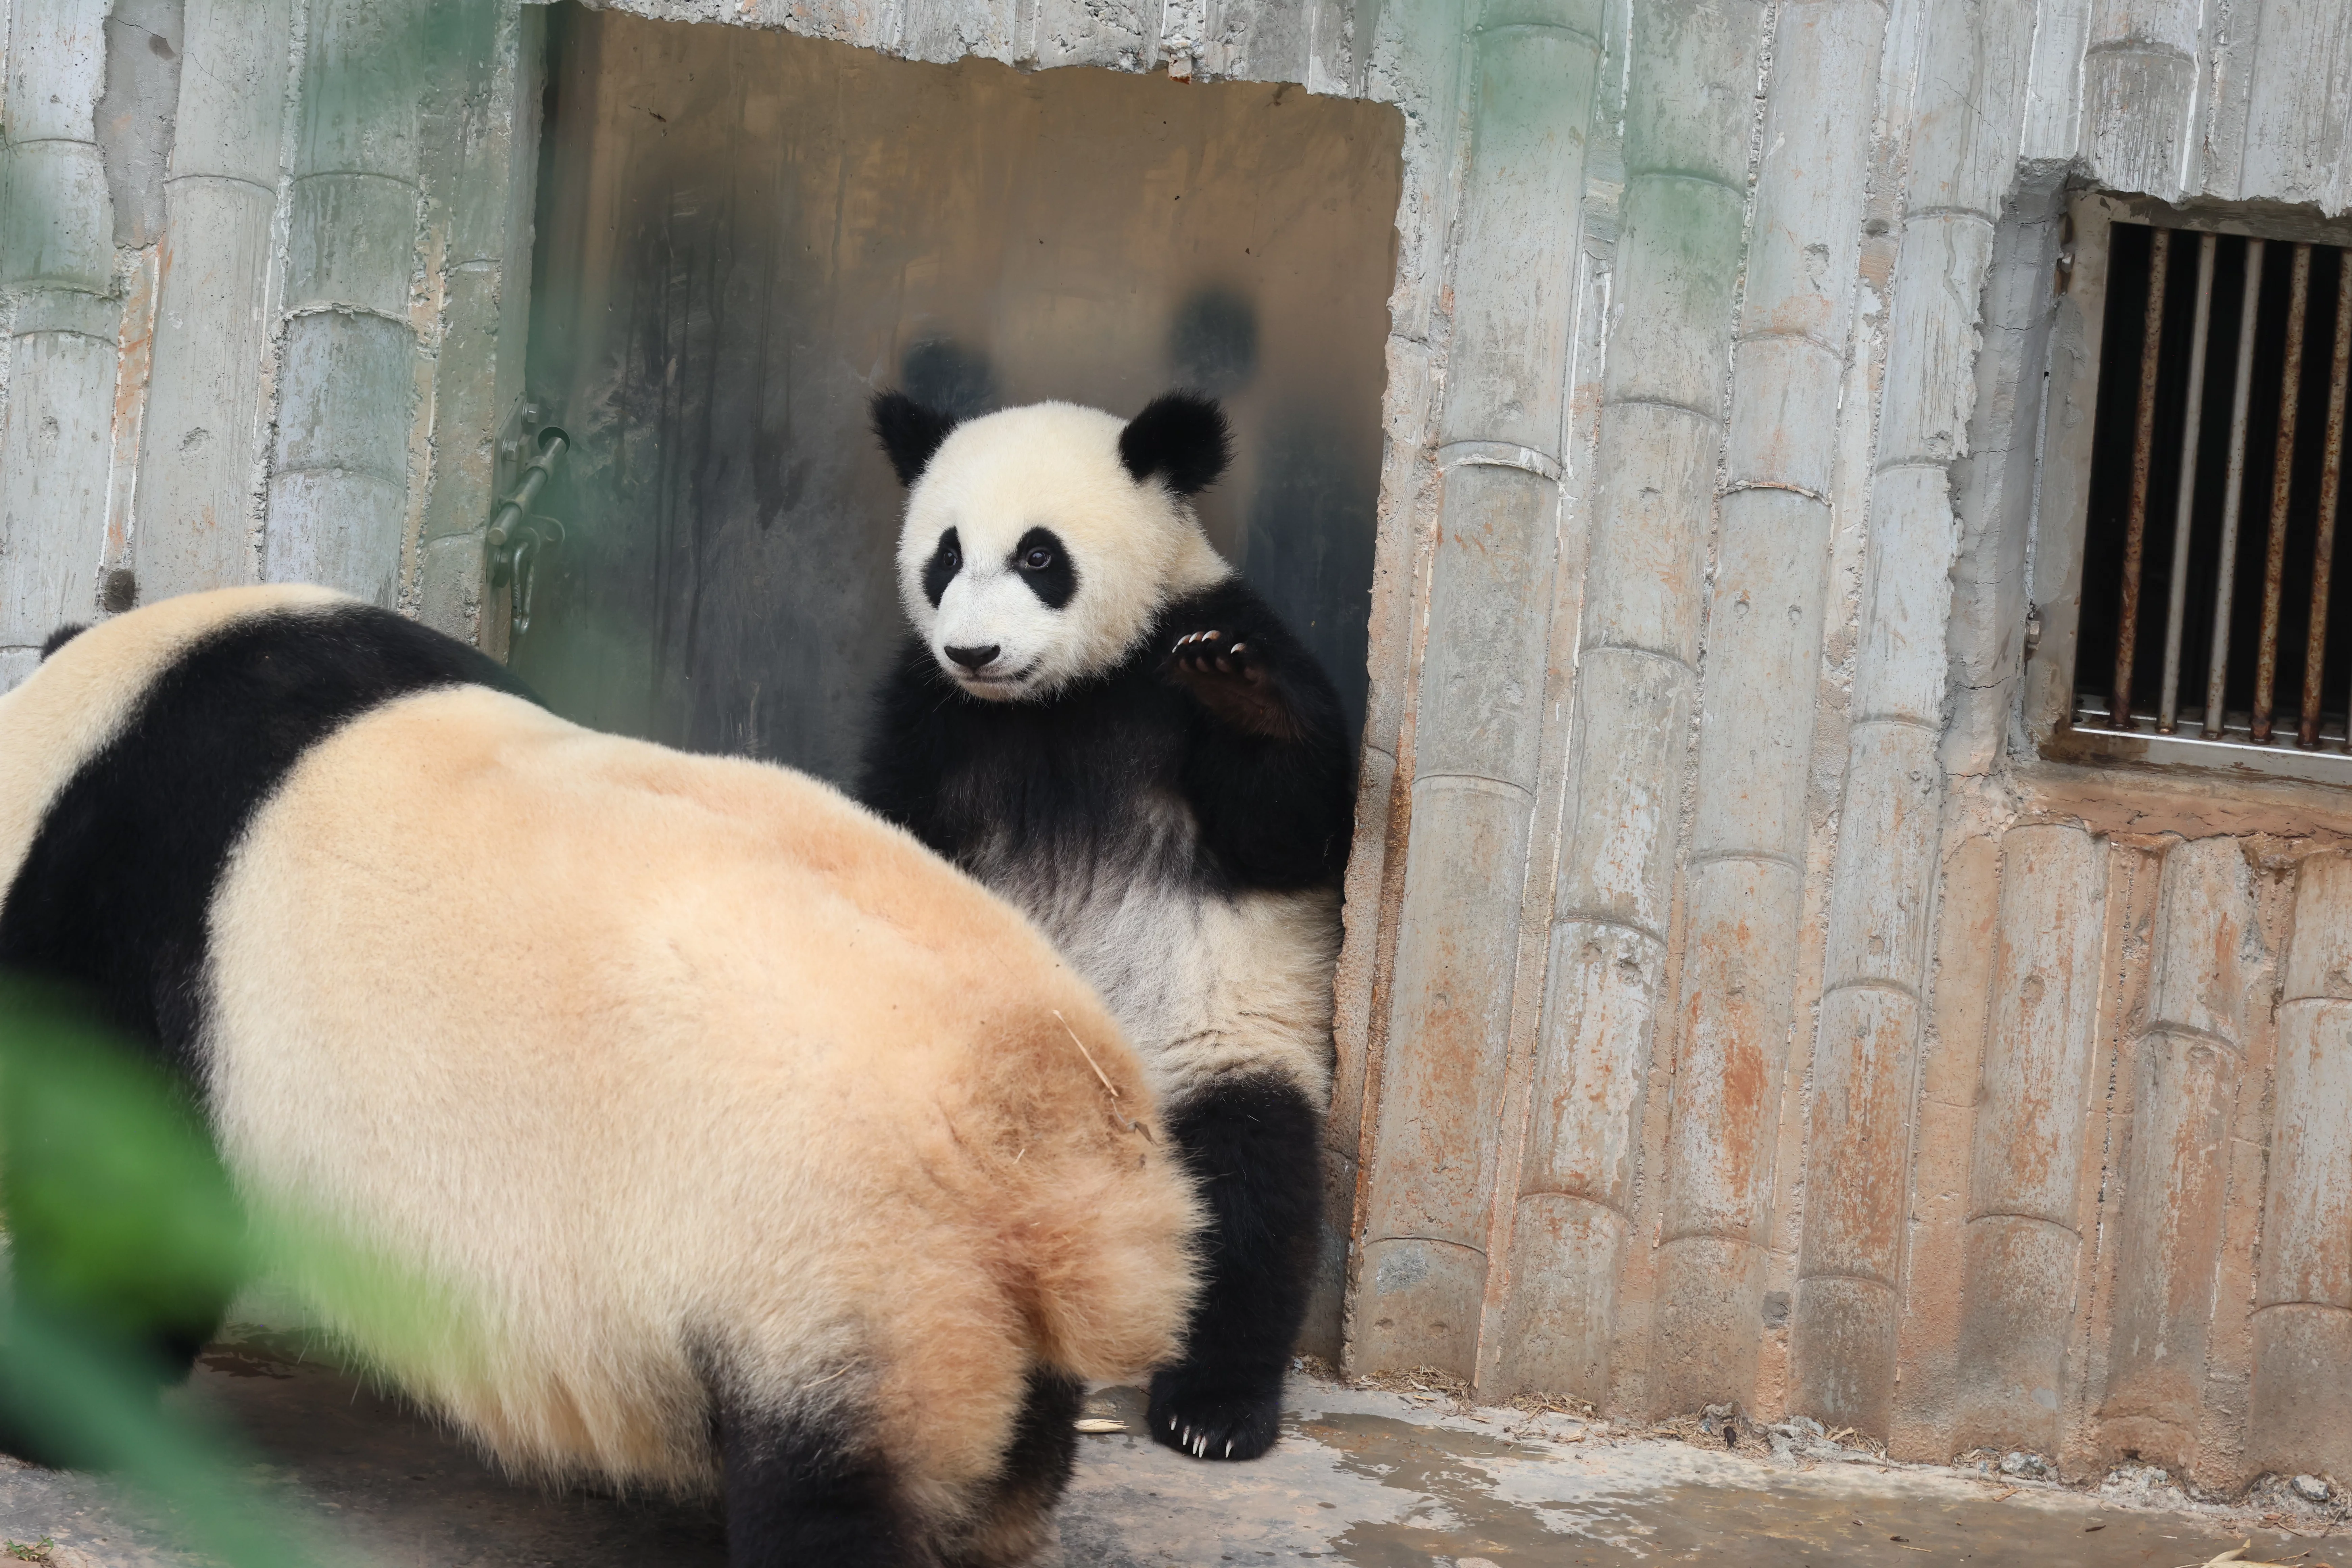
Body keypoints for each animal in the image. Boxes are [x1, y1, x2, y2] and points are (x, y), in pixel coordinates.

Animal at [0, 585, 1200, 1568]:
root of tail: (1056, 1151)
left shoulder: (144, 919)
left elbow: (131, 1211)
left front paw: (49, 1406)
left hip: (839, 1263)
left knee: (835, 1492)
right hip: (968, 1303)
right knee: (1012, 1450)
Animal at [859, 392, 1355, 1464]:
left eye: (1041, 556)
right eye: (946, 555)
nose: (974, 652)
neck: (1061, 696)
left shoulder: (1198, 650)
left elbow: (1294, 832)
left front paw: (1240, 693)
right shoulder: (931, 716)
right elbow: (892, 837)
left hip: (1212, 1053)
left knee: (1246, 1196)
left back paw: (1213, 1408)